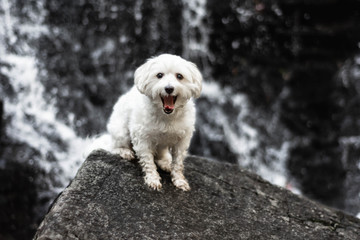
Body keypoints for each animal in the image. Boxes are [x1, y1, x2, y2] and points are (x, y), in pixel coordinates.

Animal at [107, 53, 202, 190]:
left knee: (160, 155)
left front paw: (179, 180)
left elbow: (178, 162)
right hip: (121, 132)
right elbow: (148, 161)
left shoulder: (182, 140)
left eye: (179, 76)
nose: (169, 88)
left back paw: (165, 163)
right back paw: (125, 152)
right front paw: (153, 179)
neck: (166, 115)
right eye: (159, 75)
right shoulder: (142, 138)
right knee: (113, 146)